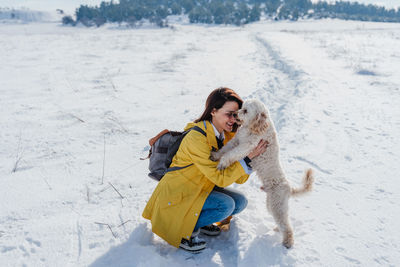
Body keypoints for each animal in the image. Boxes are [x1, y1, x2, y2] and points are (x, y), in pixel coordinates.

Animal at [211, 99, 314, 250]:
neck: (254, 126)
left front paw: (222, 163)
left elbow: (231, 154)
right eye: (241, 107)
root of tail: (289, 188)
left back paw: (287, 242)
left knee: (287, 227)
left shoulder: (247, 145)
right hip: (272, 204)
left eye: (246, 110)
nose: (234, 114)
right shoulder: (237, 140)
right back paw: (278, 230)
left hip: (277, 205)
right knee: (283, 222)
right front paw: (215, 156)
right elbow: (225, 149)